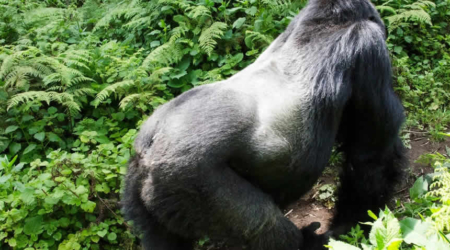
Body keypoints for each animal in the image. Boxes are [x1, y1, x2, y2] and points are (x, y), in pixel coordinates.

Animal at [121, 0, 406, 249]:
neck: (325, 22)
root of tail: (149, 146)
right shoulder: (368, 46)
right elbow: (370, 156)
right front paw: (352, 226)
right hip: (185, 179)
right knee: (267, 229)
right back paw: (303, 242)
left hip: (140, 181)